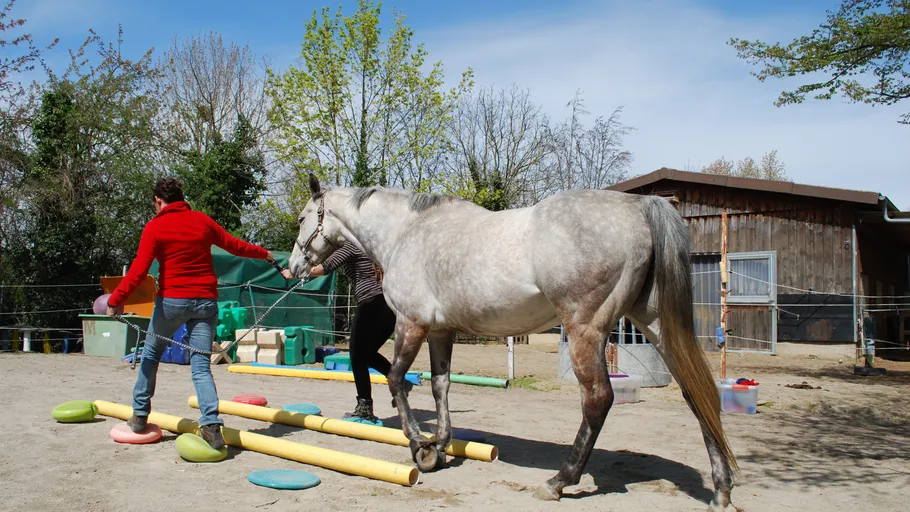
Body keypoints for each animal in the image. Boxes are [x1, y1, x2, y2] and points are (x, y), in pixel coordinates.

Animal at [288, 174, 740, 511]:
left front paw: (422, 448)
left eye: (302, 218)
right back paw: (721, 489)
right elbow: (440, 385)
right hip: (654, 323)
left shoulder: (411, 324)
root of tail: (638, 207)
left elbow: (398, 379)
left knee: (598, 399)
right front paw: (443, 443)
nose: (294, 267)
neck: (406, 232)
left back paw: (559, 481)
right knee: (695, 390)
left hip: (586, 330)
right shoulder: (440, 331)